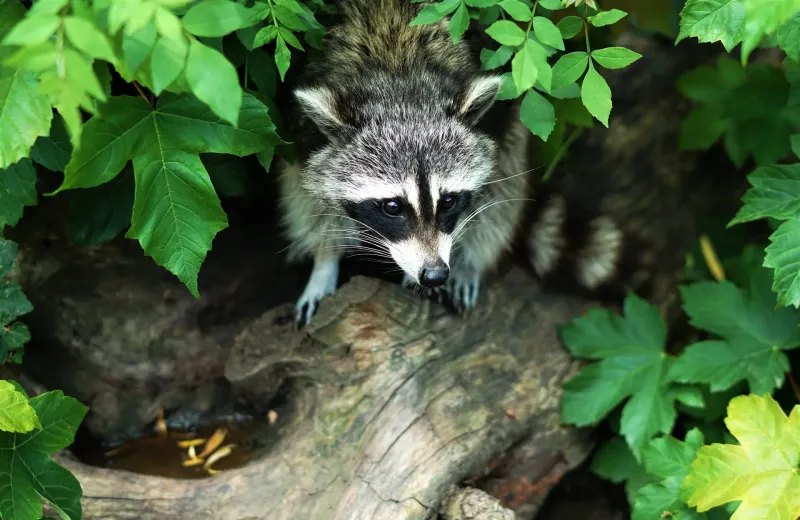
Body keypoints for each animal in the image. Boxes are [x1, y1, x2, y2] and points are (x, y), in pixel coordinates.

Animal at [276, 0, 644, 324]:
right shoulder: (304, 134)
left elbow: (493, 191)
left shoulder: (493, 121)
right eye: (392, 207)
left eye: (450, 201)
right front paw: (325, 261)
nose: (435, 274)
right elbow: (309, 197)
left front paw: (463, 261)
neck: (399, 76)